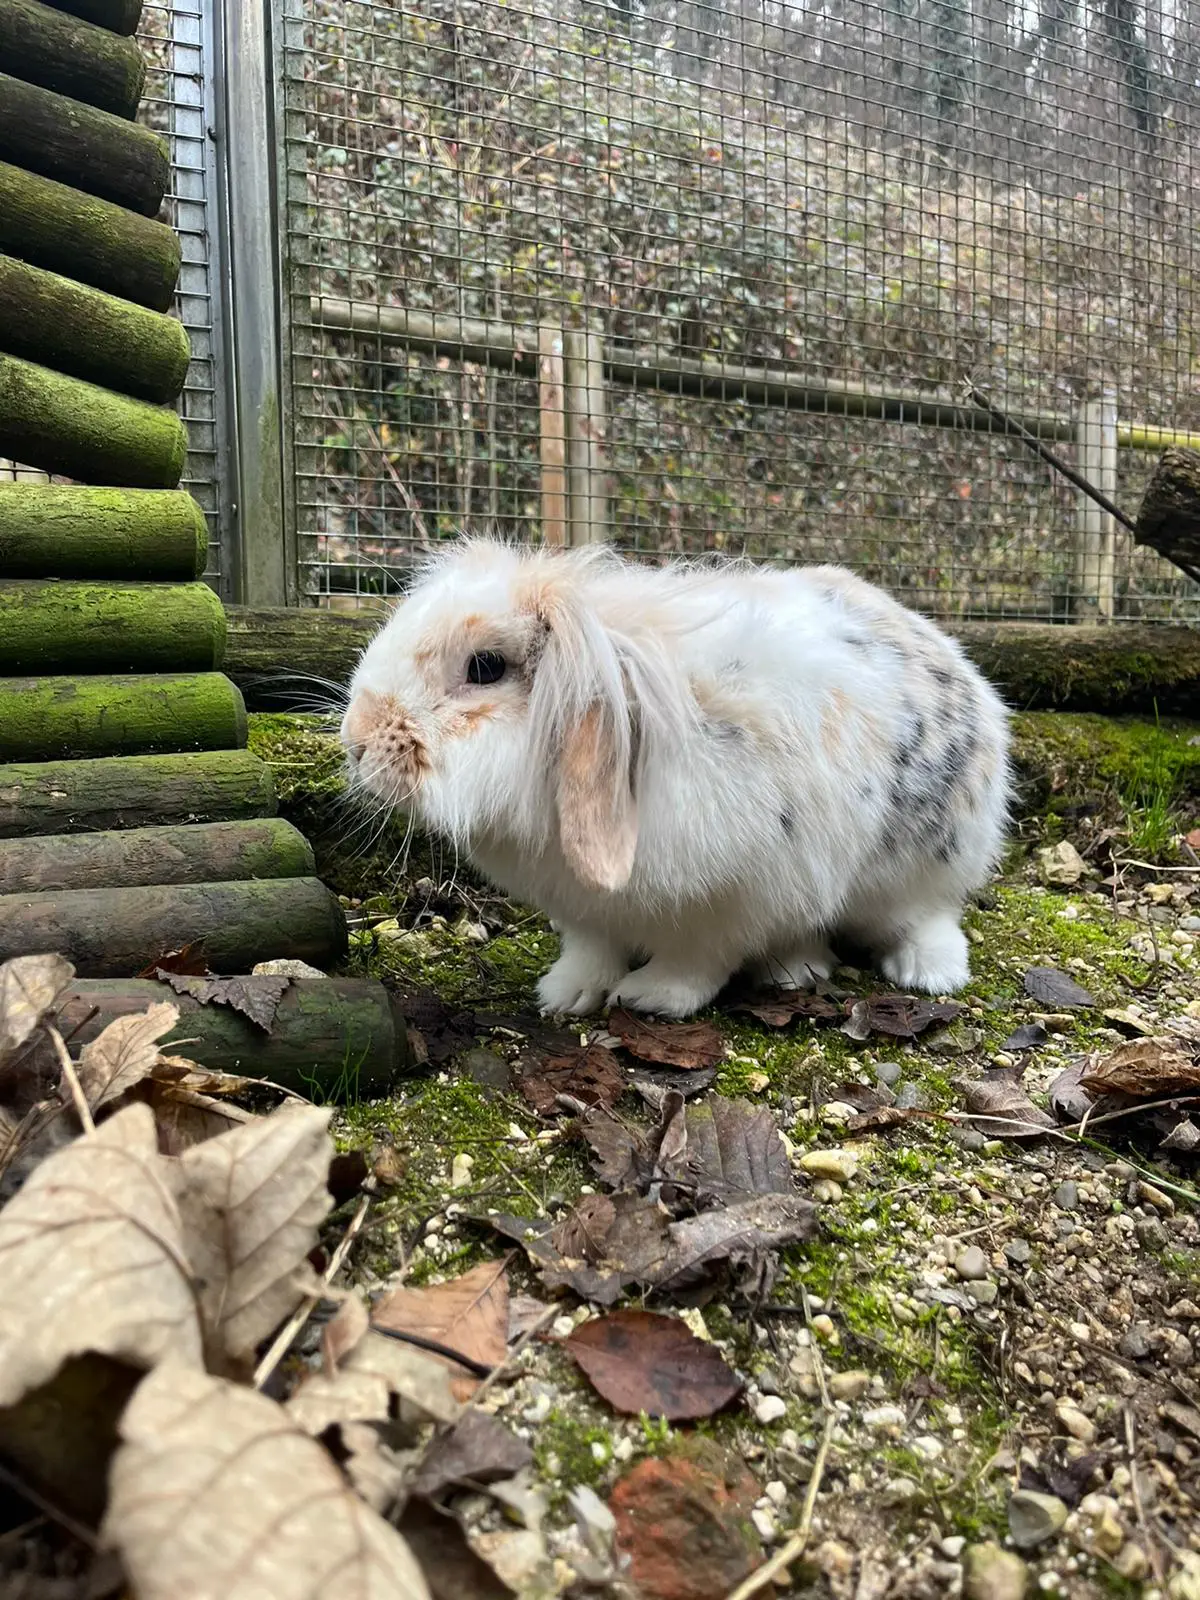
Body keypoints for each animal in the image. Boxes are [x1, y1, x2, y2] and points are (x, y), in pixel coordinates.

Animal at [342, 537, 1011, 1011]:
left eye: (485, 667)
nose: (356, 743)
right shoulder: (587, 913)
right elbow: (592, 951)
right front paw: (565, 995)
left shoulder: (729, 900)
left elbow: (695, 965)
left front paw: (647, 998)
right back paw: (797, 965)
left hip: (928, 860)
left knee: (927, 916)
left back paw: (929, 973)